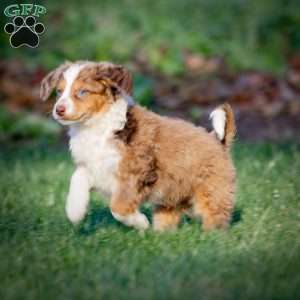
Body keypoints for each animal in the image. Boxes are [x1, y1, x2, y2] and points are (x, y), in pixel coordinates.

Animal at [40, 59, 237, 231]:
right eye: (59, 92)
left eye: (83, 92)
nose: (58, 109)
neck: (96, 126)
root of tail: (219, 141)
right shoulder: (92, 166)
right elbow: (77, 179)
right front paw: (75, 212)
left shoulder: (135, 173)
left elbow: (117, 207)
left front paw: (140, 222)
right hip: (171, 196)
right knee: (169, 213)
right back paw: (162, 234)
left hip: (211, 189)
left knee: (214, 215)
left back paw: (212, 236)